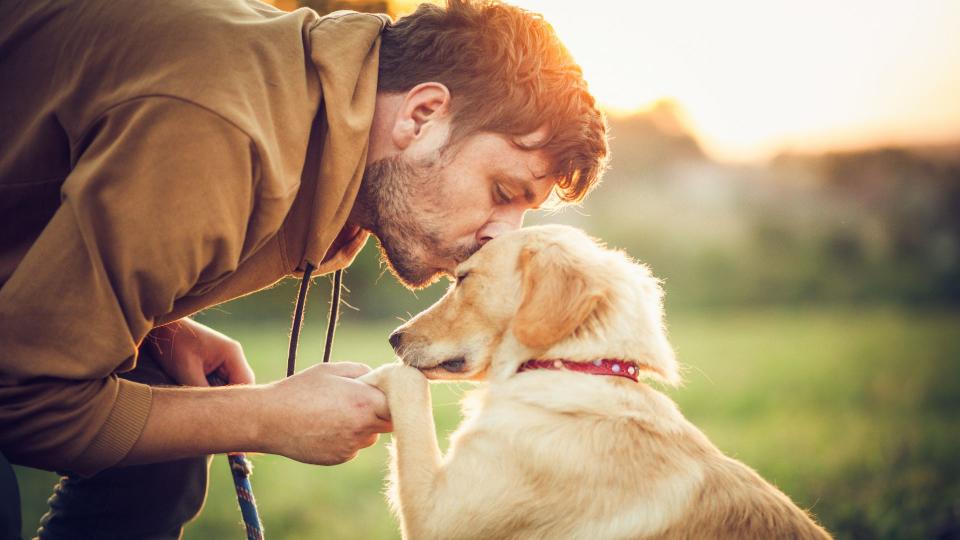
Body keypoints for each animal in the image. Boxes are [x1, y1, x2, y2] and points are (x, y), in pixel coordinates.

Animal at [362, 224, 832, 540]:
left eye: (463, 278)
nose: (393, 338)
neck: (571, 365)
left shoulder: (436, 517)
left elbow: (407, 387)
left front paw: (374, 373)